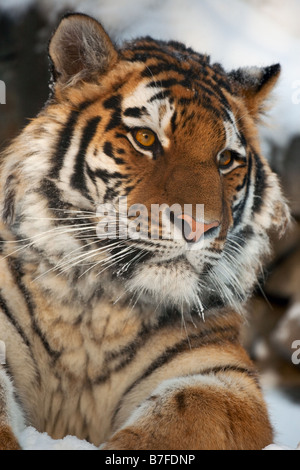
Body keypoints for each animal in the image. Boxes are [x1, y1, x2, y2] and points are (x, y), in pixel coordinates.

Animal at [0, 12, 290, 450]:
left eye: (225, 159)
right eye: (145, 138)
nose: (199, 226)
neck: (97, 313)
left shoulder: (222, 374)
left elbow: (185, 413)